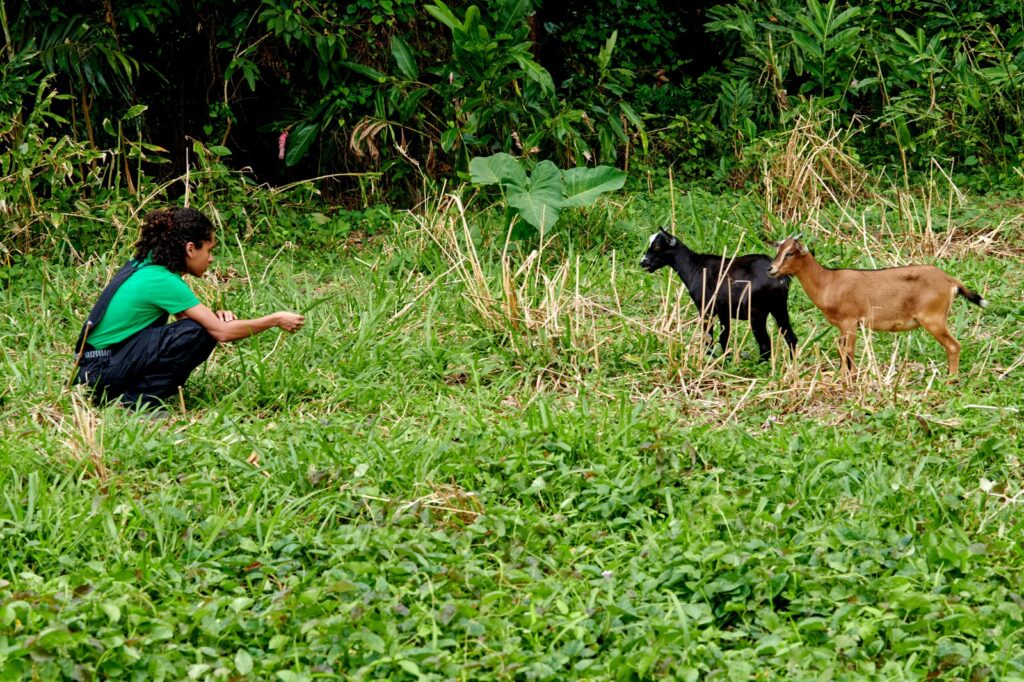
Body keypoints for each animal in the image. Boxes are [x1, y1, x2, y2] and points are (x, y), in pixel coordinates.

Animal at [770, 237, 983, 376]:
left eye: (790, 253)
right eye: (778, 251)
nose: (771, 269)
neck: (828, 282)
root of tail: (950, 281)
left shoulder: (850, 321)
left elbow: (848, 350)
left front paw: (849, 378)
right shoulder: (843, 326)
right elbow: (841, 348)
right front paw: (840, 375)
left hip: (933, 319)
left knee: (954, 346)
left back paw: (951, 379)